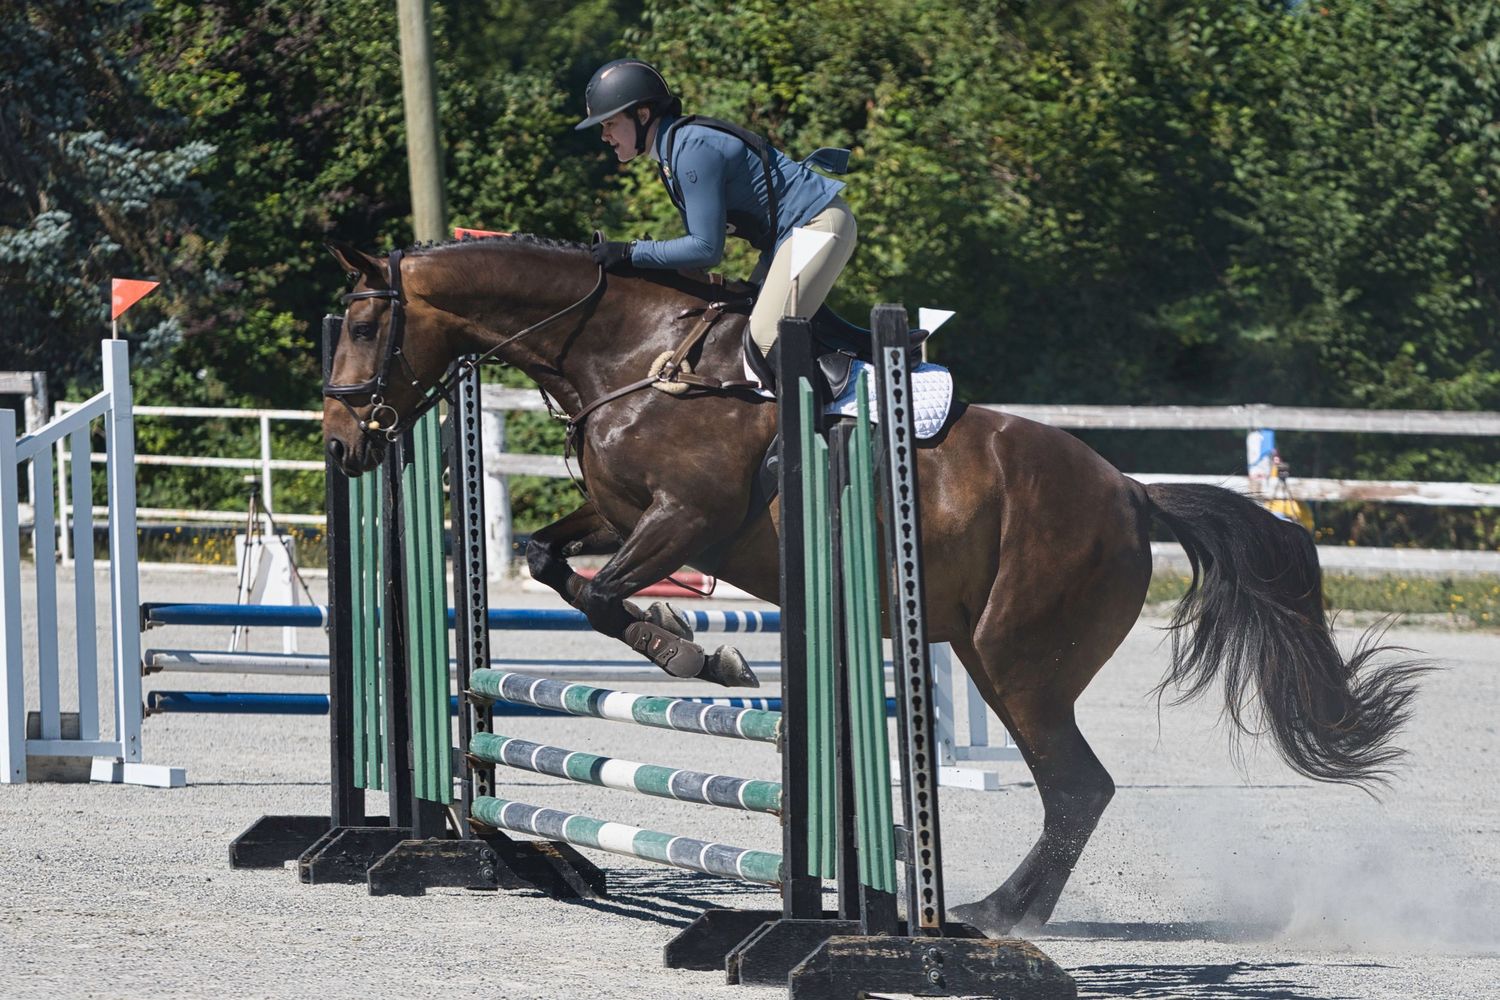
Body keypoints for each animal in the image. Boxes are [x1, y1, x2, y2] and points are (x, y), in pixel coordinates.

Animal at [321, 233, 1425, 936]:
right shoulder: (620, 514)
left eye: (367, 329)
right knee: (1076, 787)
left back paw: (993, 915)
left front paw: (705, 657)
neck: (629, 354)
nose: (341, 446)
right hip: (988, 649)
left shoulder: (686, 519)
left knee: (1078, 786)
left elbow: (602, 595)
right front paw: (691, 647)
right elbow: (556, 566)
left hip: (1019, 662)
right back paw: (993, 911)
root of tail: (1130, 491)